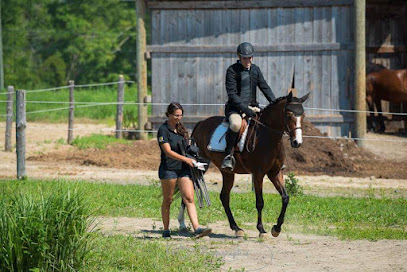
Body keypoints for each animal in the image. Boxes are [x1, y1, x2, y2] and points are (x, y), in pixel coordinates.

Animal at [178, 92, 310, 237]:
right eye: (288, 115)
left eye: (303, 116)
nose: (297, 142)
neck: (268, 136)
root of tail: (201, 123)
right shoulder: (258, 174)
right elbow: (260, 202)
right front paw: (261, 229)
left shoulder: (275, 173)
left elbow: (285, 198)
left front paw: (276, 228)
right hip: (201, 165)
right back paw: (182, 224)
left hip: (227, 172)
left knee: (224, 196)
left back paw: (236, 228)